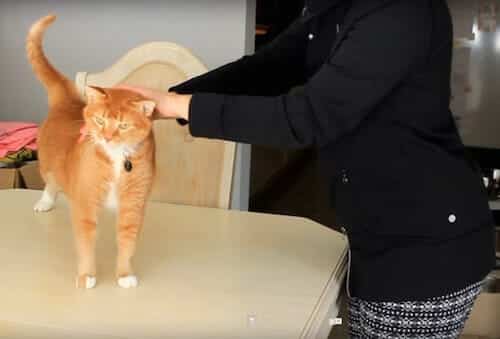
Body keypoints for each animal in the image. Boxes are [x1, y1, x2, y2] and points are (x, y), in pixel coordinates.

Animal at [26, 13, 155, 290]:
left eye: (123, 125)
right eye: (99, 120)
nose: (107, 137)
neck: (117, 161)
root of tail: (68, 103)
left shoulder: (133, 207)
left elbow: (127, 246)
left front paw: (124, 275)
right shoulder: (85, 206)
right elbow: (86, 247)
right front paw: (87, 276)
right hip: (46, 162)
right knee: (50, 181)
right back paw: (45, 202)